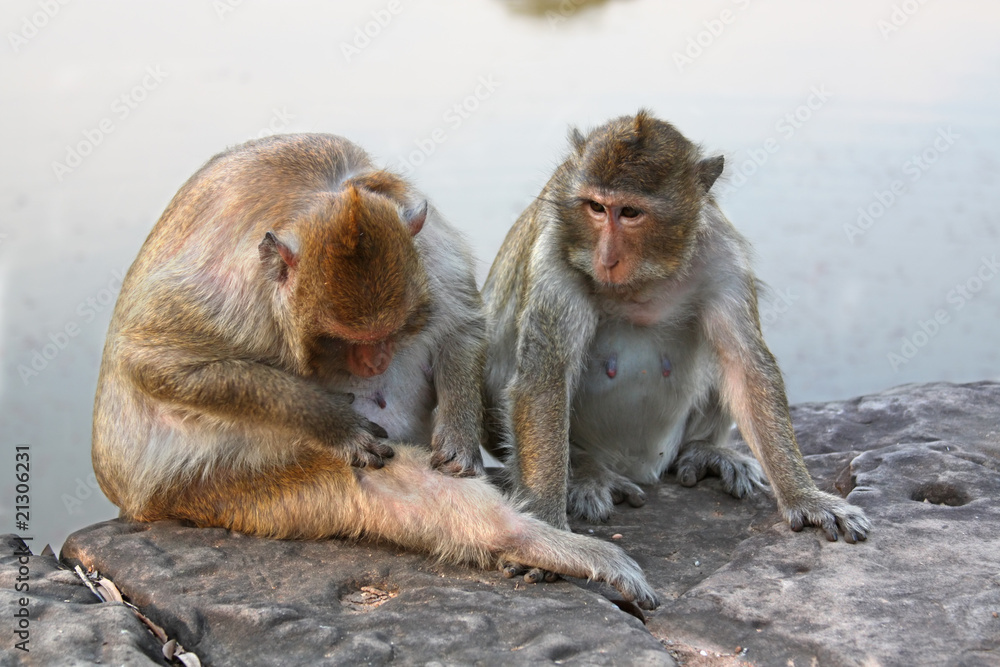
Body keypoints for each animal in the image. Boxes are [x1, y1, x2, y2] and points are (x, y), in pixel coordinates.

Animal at [91, 133, 658, 610]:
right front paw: (333, 422)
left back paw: (536, 542)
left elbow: (459, 320)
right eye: (343, 342)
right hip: (211, 486)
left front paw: (458, 433)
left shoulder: (425, 245)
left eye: (392, 330)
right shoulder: (231, 292)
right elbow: (158, 362)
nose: (375, 360)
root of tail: (139, 505)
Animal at [483, 112, 871, 554]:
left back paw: (705, 451)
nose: (606, 258)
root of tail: (644, 467)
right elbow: (544, 379)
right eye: (597, 207)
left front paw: (805, 496)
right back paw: (586, 472)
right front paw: (548, 530)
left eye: (630, 212)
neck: (644, 279)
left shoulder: (721, 253)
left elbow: (746, 367)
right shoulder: (554, 251)